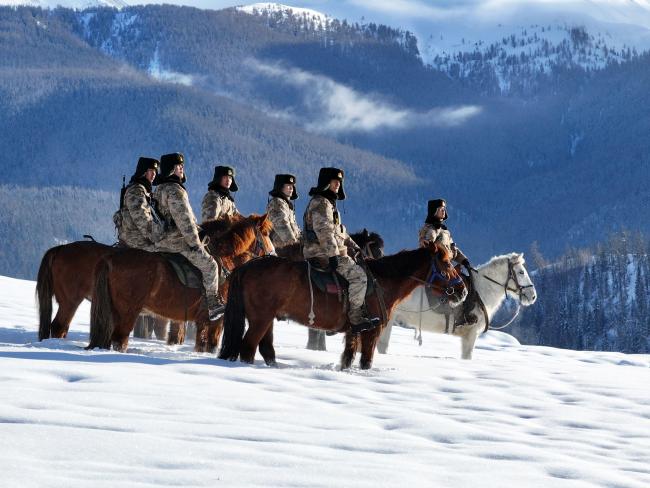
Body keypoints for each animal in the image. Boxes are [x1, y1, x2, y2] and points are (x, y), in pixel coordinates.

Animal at [86, 214, 274, 350]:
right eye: (265, 234)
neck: (224, 260)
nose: (274, 254)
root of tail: (111, 257)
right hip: (127, 312)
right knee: (120, 341)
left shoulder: (201, 322)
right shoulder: (214, 322)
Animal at [218, 242, 466, 372]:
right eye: (445, 263)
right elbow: (366, 361)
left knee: (266, 348)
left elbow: (347, 358)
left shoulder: (353, 332)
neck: (382, 281)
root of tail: (247, 266)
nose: (462, 290)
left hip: (266, 319)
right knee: (248, 347)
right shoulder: (372, 331)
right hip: (260, 319)